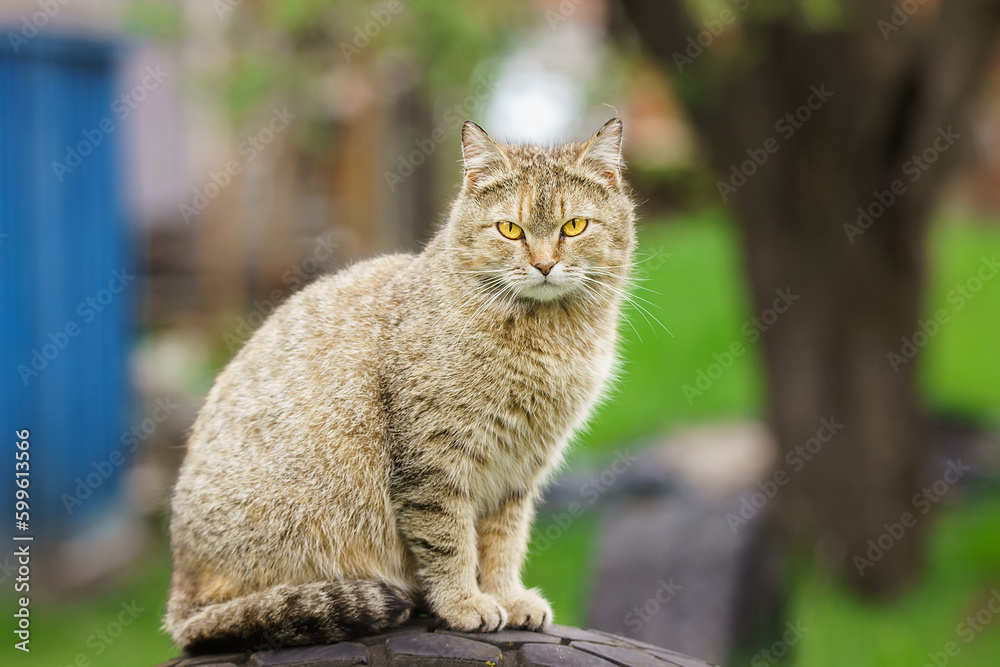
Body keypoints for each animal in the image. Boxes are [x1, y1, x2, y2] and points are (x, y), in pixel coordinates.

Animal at [164, 118, 632, 652]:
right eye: (510, 230)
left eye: (574, 226)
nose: (544, 264)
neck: (546, 337)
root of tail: (178, 592)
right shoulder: (434, 462)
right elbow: (449, 543)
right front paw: (464, 603)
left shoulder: (518, 472)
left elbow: (503, 543)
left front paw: (506, 596)